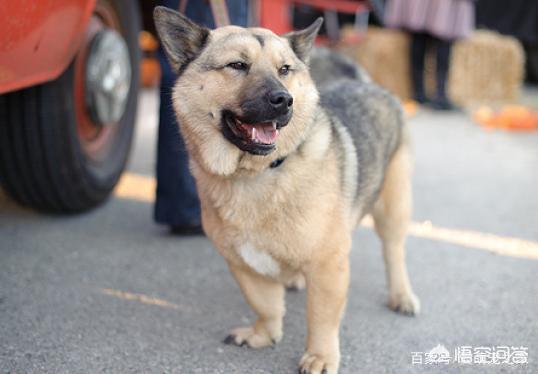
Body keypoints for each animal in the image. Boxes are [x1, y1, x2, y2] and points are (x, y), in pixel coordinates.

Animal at [153, 7, 416, 372]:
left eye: (285, 70)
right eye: (237, 65)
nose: (283, 100)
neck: (256, 173)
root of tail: (367, 84)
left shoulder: (328, 265)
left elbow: (321, 318)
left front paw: (320, 356)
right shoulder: (243, 264)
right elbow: (265, 304)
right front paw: (264, 334)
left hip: (393, 208)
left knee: (394, 253)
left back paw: (402, 295)